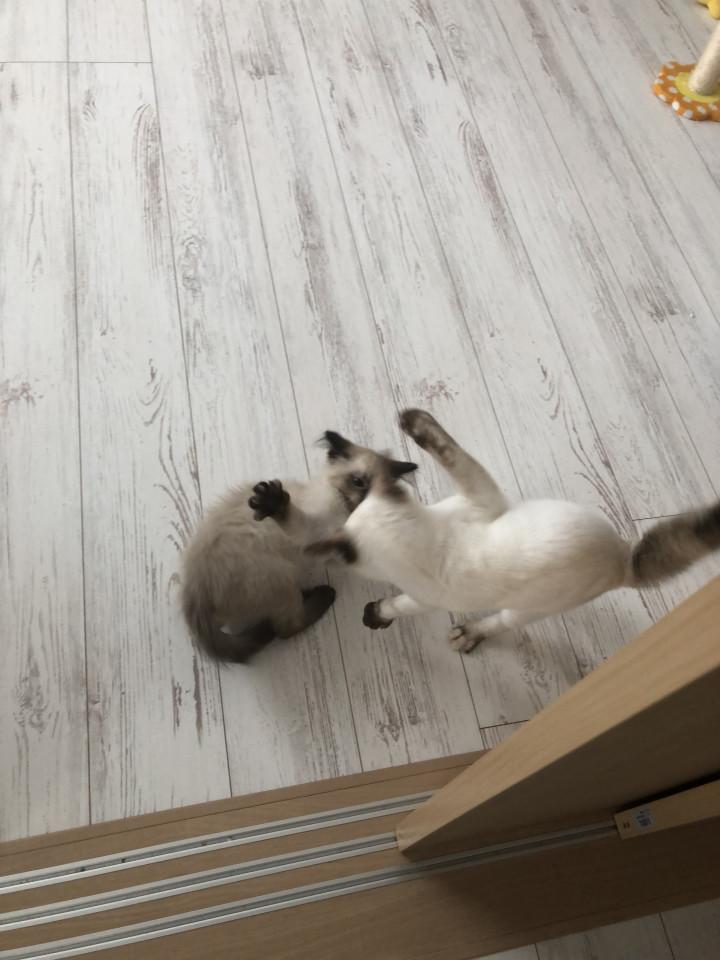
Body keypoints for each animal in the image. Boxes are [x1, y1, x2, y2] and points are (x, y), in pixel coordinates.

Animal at [181, 431, 416, 662]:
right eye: (358, 482)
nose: (370, 501)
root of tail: (196, 598)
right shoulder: (312, 535)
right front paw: (274, 502)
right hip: (281, 576)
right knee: (286, 628)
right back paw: (324, 595)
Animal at [293, 409, 720, 653]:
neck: (429, 538)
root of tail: (624, 560)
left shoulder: (423, 596)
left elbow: (397, 605)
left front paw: (376, 614)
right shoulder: (482, 497)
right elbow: (455, 455)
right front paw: (417, 421)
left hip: (527, 608)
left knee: (500, 622)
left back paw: (468, 635)